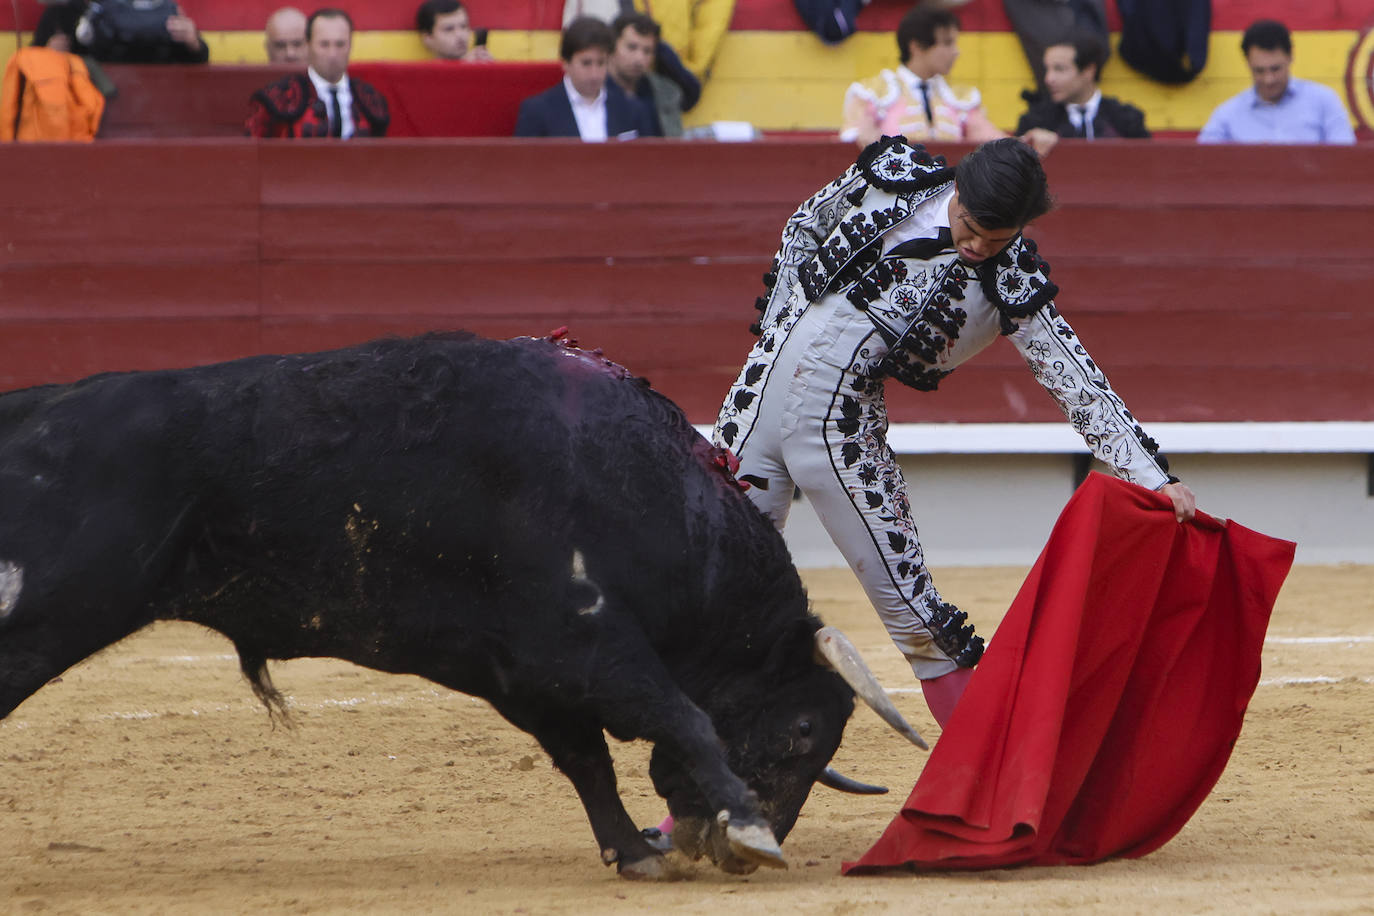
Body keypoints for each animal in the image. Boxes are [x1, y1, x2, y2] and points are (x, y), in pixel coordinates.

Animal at [5, 333, 923, 878]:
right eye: (802, 730)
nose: (729, 853)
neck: (642, 491)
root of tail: (35, 404)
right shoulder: (586, 642)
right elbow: (683, 717)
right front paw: (744, 825)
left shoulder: (524, 673)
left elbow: (587, 760)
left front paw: (633, 852)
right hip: (47, 610)